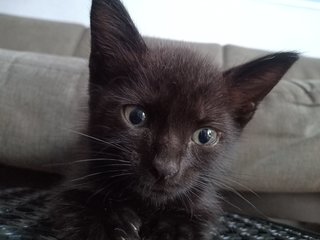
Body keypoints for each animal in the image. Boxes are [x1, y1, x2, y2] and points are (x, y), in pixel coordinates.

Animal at [49, 0, 298, 240]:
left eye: (205, 135)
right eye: (136, 116)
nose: (165, 168)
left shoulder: (204, 206)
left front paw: (173, 229)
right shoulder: (76, 179)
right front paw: (110, 222)